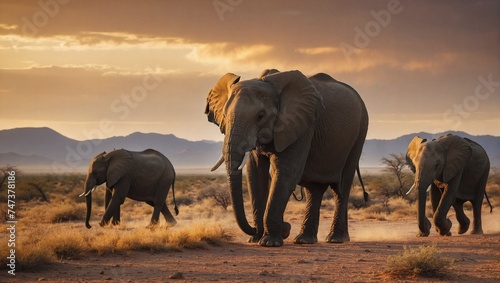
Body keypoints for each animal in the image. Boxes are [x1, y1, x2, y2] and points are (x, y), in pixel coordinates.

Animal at [203, 68, 368, 246]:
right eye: (224, 115)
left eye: (260, 116)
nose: (286, 227)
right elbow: (256, 174)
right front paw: (255, 239)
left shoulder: (301, 124)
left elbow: (286, 172)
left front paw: (269, 242)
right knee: (315, 189)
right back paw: (305, 240)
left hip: (359, 133)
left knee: (342, 187)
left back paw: (335, 239)